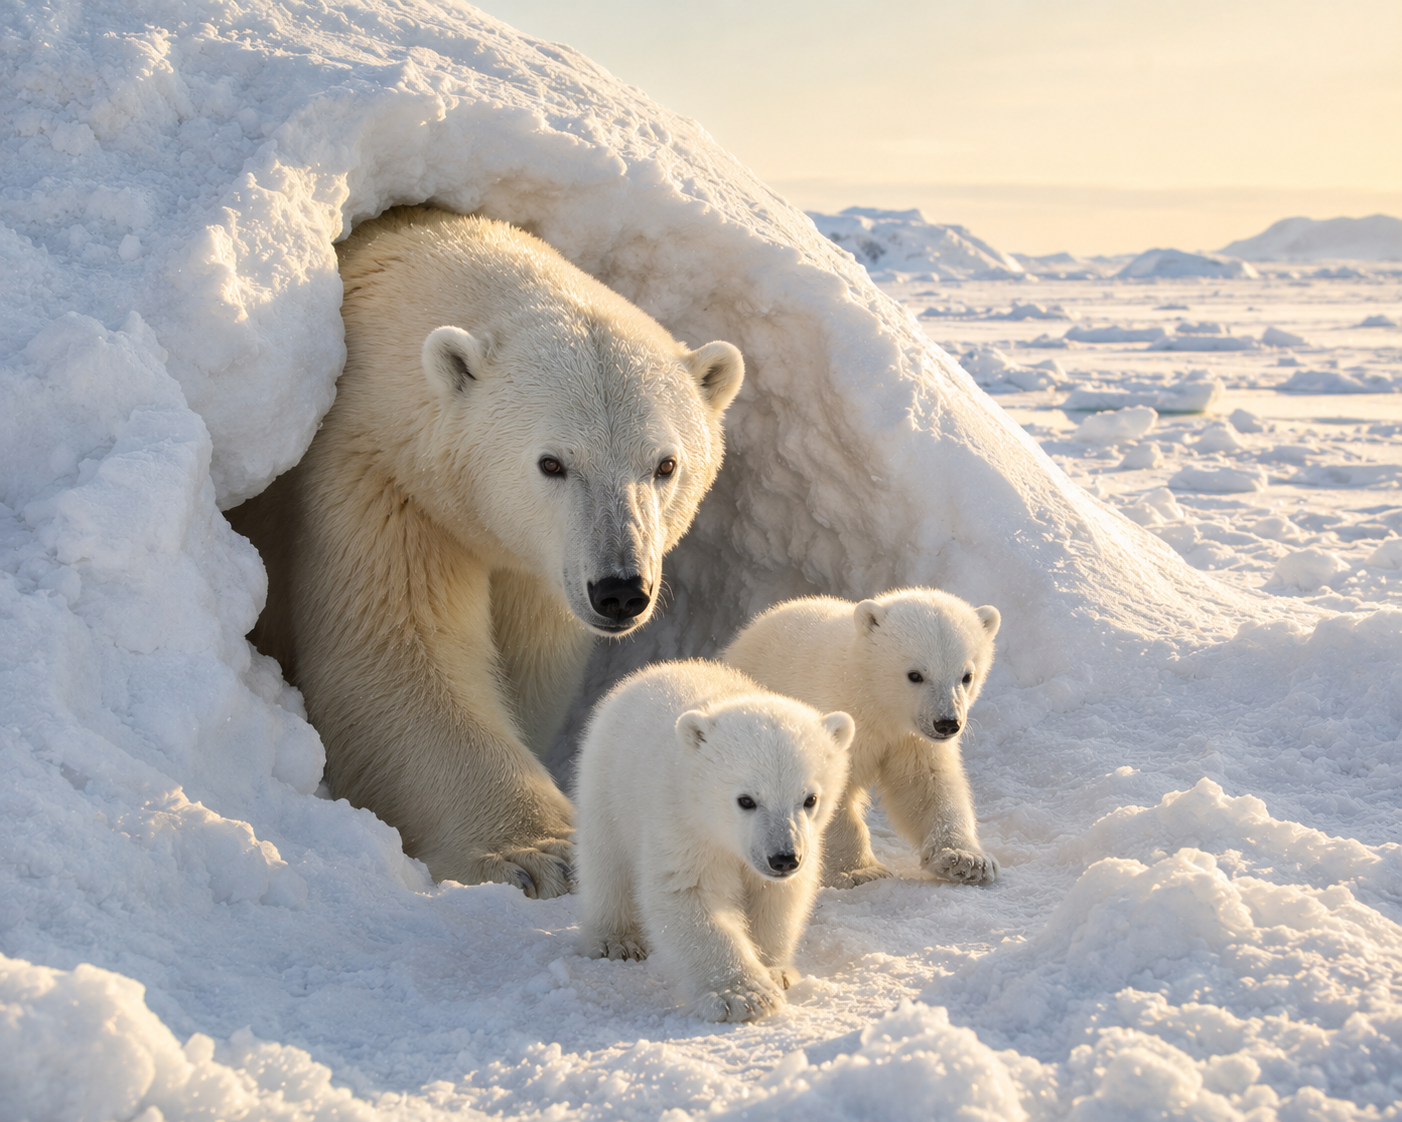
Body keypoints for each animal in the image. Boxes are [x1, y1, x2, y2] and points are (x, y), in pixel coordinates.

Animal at [227, 208, 744, 897]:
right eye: (552, 462)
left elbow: (529, 661)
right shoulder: (381, 477)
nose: (620, 590)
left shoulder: (538, 563)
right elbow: (397, 652)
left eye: (665, 464)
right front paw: (538, 854)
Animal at [574, 659, 853, 1022]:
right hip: (607, 786)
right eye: (746, 800)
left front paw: (776, 971)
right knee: (606, 865)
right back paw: (616, 942)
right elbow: (691, 895)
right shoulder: (683, 824)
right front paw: (744, 995)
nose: (783, 858)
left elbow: (777, 898)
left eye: (810, 799)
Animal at [722, 588, 1000, 889]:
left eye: (967, 675)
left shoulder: (911, 740)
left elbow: (927, 785)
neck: (871, 697)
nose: (947, 723)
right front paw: (858, 871)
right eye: (915, 675)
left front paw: (967, 861)